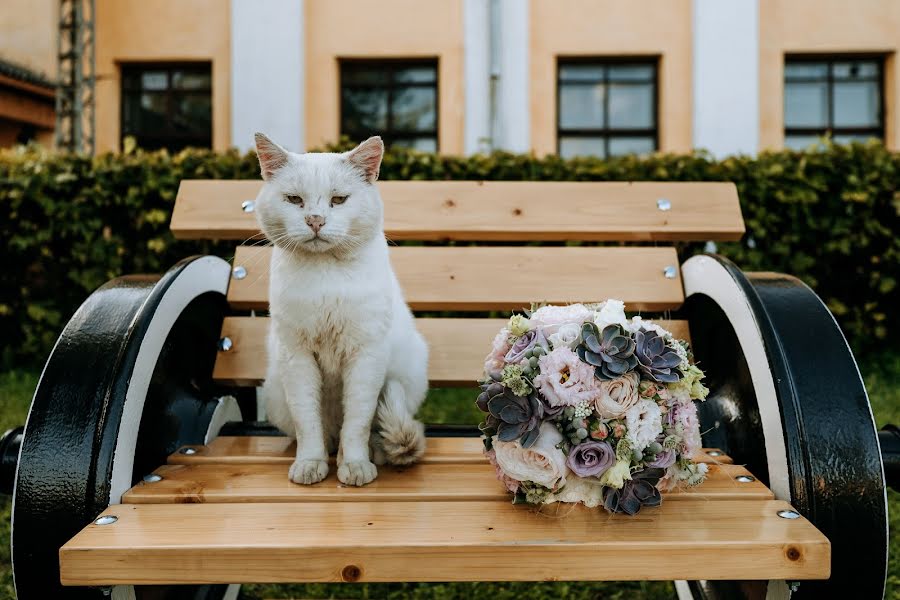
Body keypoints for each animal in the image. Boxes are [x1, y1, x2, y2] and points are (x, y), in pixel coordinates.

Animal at [253, 134, 428, 486]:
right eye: (294, 200)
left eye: (338, 200)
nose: (315, 220)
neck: (326, 276)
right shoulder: (297, 357)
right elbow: (308, 422)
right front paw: (309, 464)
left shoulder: (365, 356)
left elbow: (357, 423)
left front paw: (356, 466)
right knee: (326, 434)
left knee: (373, 432)